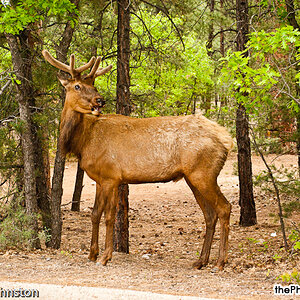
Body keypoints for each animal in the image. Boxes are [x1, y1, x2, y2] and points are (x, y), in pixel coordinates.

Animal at [42, 50, 234, 270]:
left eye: (94, 85)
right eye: (78, 86)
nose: (100, 101)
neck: (83, 141)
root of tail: (227, 139)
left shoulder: (111, 176)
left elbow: (109, 217)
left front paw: (105, 256)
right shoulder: (100, 179)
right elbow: (95, 214)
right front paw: (91, 254)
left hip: (204, 173)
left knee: (224, 208)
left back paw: (220, 261)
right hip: (192, 177)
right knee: (209, 215)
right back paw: (201, 260)